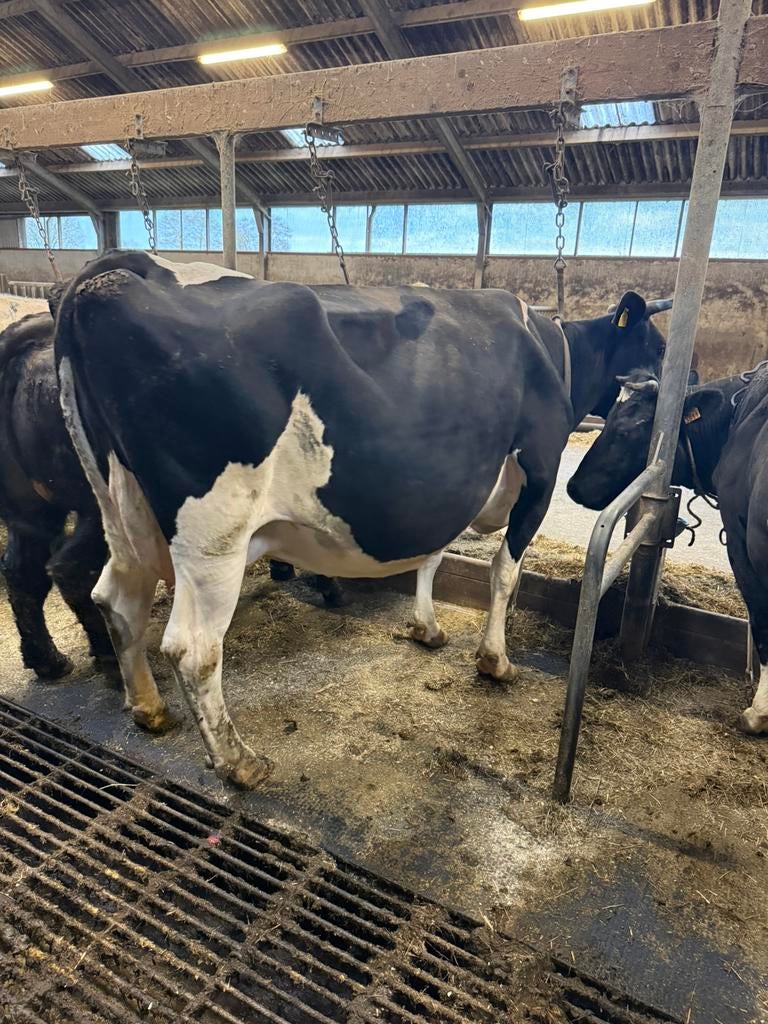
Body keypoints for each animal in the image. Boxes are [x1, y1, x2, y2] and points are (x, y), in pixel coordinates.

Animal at [0, 311, 114, 677]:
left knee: (23, 574)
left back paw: (48, 662)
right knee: (74, 570)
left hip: (30, 513)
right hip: (101, 506)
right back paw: (109, 657)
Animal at [54, 251, 669, 786]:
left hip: (120, 512)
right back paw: (240, 762)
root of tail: (118, 270)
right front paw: (495, 661)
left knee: (116, 600)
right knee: (193, 648)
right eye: (658, 346)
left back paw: (148, 708)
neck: (553, 352)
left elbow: (432, 554)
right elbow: (503, 571)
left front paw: (426, 628)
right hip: (213, 536)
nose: (668, 390)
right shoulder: (539, 472)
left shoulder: (443, 485)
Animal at [567, 367, 768, 736]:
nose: (574, 487)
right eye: (608, 416)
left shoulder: (739, 539)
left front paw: (757, 713)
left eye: (629, 427)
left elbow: (760, 621)